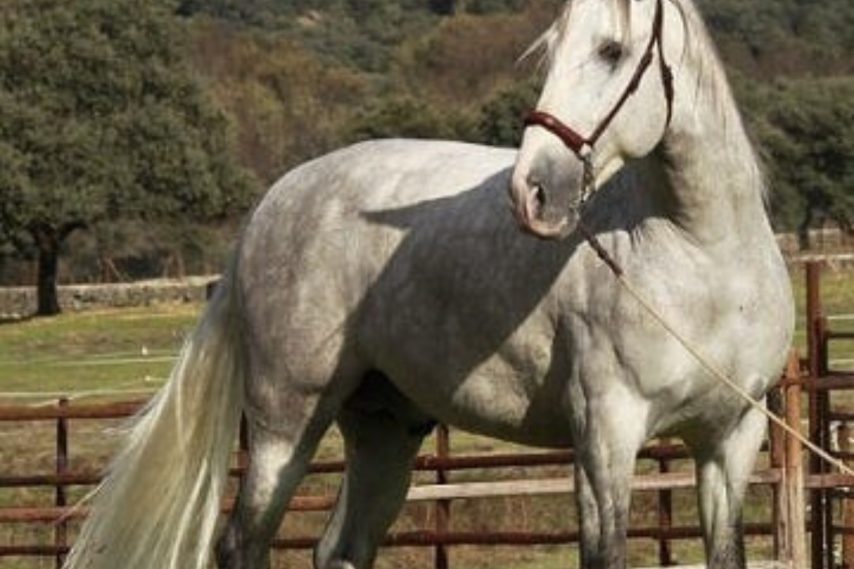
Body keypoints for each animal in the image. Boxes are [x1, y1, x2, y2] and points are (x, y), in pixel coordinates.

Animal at [63, 0, 794, 567]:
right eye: (552, 50)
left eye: (612, 51)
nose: (532, 191)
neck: (702, 261)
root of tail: (269, 207)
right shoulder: (605, 441)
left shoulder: (730, 443)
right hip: (284, 424)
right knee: (243, 543)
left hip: (384, 428)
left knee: (341, 548)